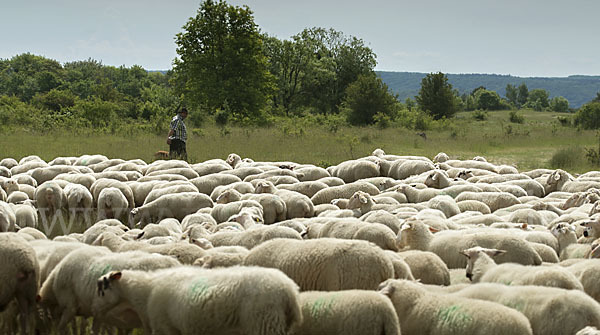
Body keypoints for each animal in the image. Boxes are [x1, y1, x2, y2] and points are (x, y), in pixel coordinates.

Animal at [92, 266, 300, 335]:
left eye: (101, 290)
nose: (94, 310)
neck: (146, 292)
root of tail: (289, 291)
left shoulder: (167, 329)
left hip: (264, 324)